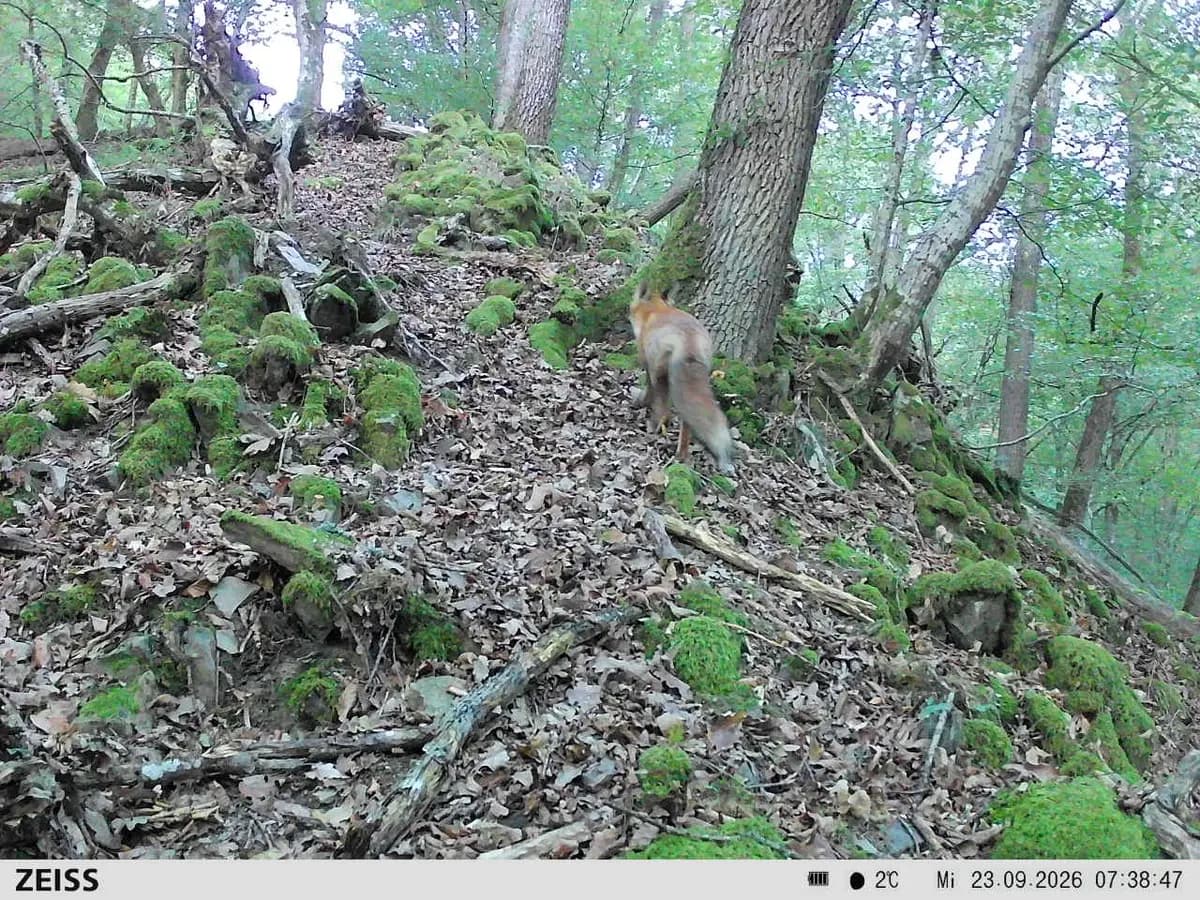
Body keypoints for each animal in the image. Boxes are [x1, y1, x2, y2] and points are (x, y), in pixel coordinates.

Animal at [629, 280, 736, 476]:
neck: (655, 311)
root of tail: (690, 341)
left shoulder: (648, 364)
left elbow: (649, 391)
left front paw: (641, 403)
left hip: (662, 376)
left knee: (663, 407)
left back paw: (653, 428)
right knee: (687, 421)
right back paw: (682, 454)